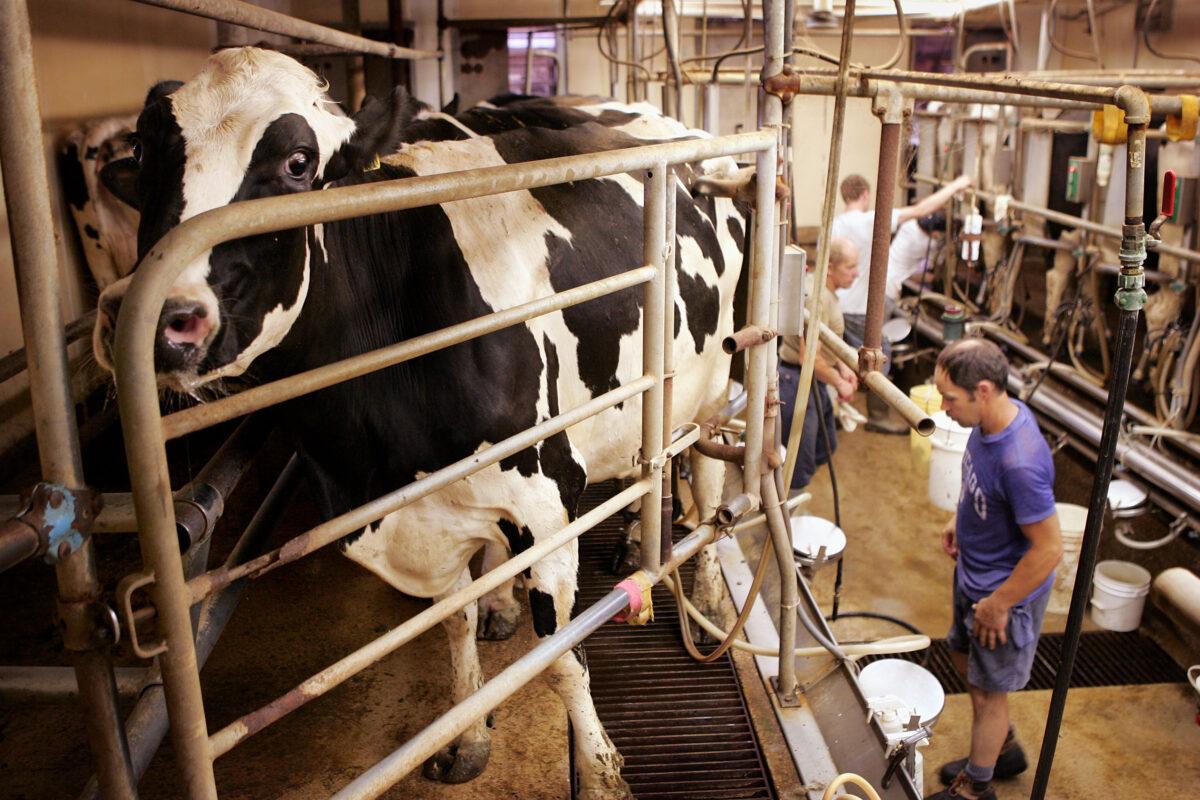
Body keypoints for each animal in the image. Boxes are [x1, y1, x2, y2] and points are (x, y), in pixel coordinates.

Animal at [96, 47, 748, 796]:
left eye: (297, 161)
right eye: (143, 152)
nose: (156, 320)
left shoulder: (547, 496)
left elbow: (557, 657)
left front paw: (600, 770)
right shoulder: (426, 515)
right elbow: (453, 624)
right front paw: (468, 735)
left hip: (715, 376)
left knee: (706, 471)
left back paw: (706, 592)